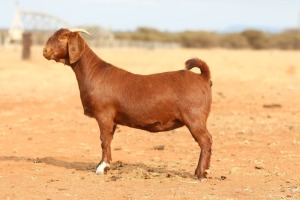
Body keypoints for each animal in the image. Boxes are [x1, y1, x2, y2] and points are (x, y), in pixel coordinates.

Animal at [42, 28, 213, 180]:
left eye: (64, 38)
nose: (45, 51)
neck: (94, 72)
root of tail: (203, 77)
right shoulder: (112, 120)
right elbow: (109, 139)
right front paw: (104, 165)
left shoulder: (103, 114)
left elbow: (104, 140)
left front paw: (101, 168)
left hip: (195, 117)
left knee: (206, 141)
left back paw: (200, 174)